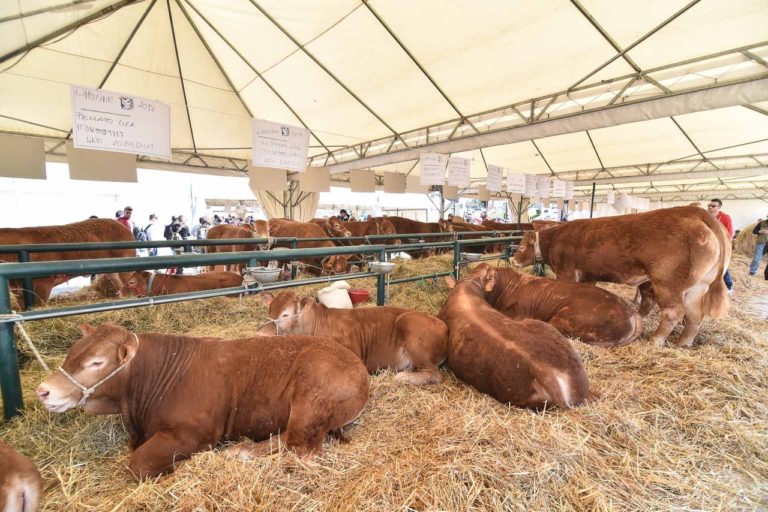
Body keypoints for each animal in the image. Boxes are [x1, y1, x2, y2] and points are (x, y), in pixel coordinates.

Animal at [36, 322, 368, 478]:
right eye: (71, 353)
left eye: (97, 362)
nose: (43, 390)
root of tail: (356, 365)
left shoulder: (193, 433)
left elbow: (138, 465)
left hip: (310, 400)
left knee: (302, 448)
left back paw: (242, 453)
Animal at [512, 205, 728, 348]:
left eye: (521, 247)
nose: (513, 261)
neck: (554, 239)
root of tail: (694, 211)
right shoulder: (588, 276)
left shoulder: (566, 273)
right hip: (697, 287)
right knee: (694, 315)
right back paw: (683, 342)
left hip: (667, 284)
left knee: (673, 312)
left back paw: (655, 340)